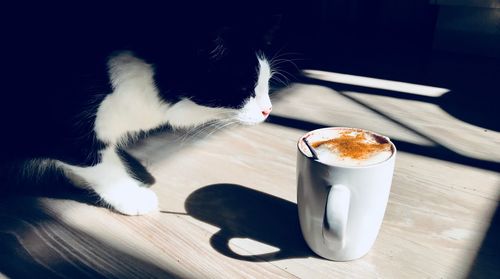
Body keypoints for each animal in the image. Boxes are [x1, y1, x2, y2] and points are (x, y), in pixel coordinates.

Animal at [0, 5, 284, 218]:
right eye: (244, 88)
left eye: (266, 82)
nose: (268, 110)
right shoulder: (62, 124)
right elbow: (97, 162)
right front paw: (130, 195)